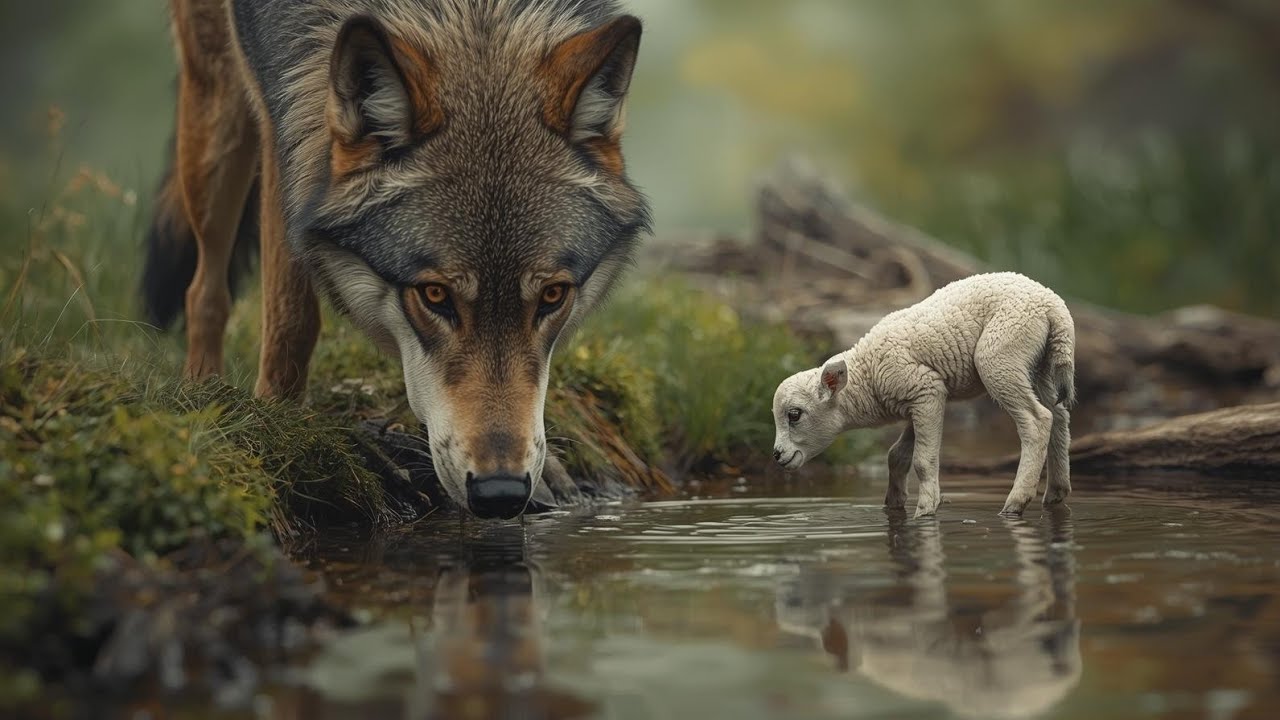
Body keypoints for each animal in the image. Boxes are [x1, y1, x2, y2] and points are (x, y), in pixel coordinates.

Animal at [140, 0, 651, 519]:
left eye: (552, 296)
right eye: (435, 294)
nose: (501, 492)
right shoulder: (281, 134)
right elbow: (291, 322)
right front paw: (281, 433)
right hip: (218, 116)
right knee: (203, 290)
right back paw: (205, 393)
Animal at [771, 272, 1076, 517]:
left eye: (794, 414)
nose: (776, 455)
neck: (868, 375)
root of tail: (1054, 308)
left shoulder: (925, 389)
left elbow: (922, 461)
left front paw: (925, 510)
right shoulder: (919, 399)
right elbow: (896, 455)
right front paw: (894, 503)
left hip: (1001, 352)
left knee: (1037, 420)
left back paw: (1015, 502)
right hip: (1040, 364)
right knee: (1059, 415)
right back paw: (1056, 492)